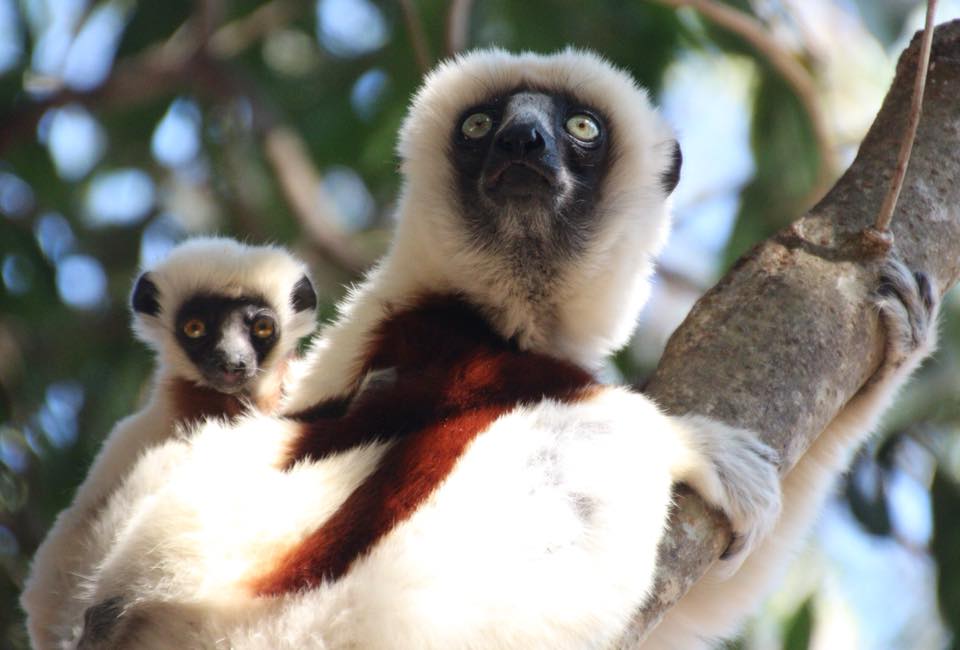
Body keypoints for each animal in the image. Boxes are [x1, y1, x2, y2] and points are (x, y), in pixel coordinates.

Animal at [65, 48, 936, 650]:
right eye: (480, 126)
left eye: (580, 128)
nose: (522, 142)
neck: (506, 308)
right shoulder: (427, 327)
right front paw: (693, 441)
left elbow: (691, 611)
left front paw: (894, 342)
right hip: (329, 620)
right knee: (590, 438)